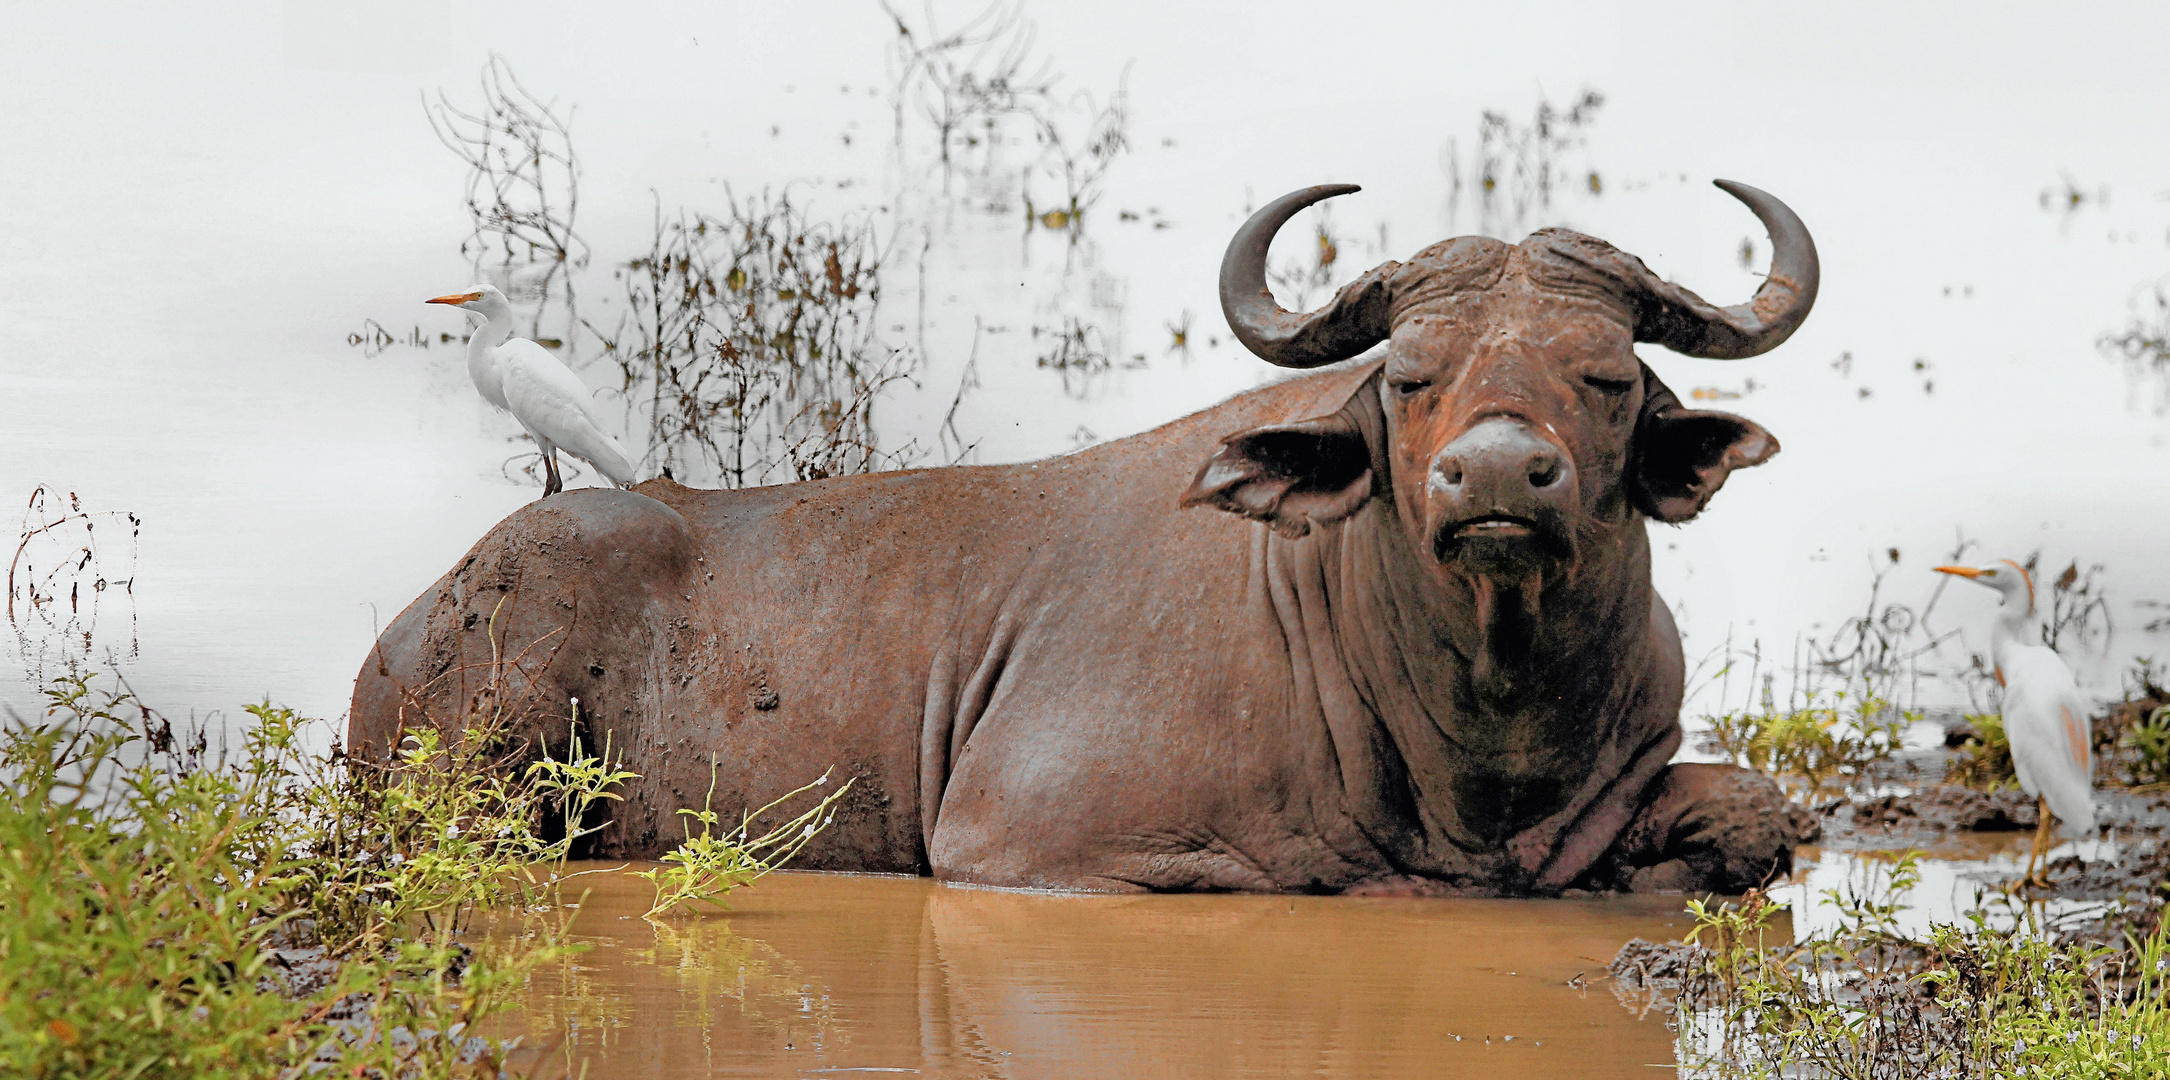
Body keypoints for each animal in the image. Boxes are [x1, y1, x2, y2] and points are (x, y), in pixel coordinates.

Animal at [347, 183, 1822, 893]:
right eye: (1409, 377)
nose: (1498, 476)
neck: (1472, 734)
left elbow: (1755, 814)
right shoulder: (1027, 851)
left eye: (1605, 375)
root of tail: (404, 631)